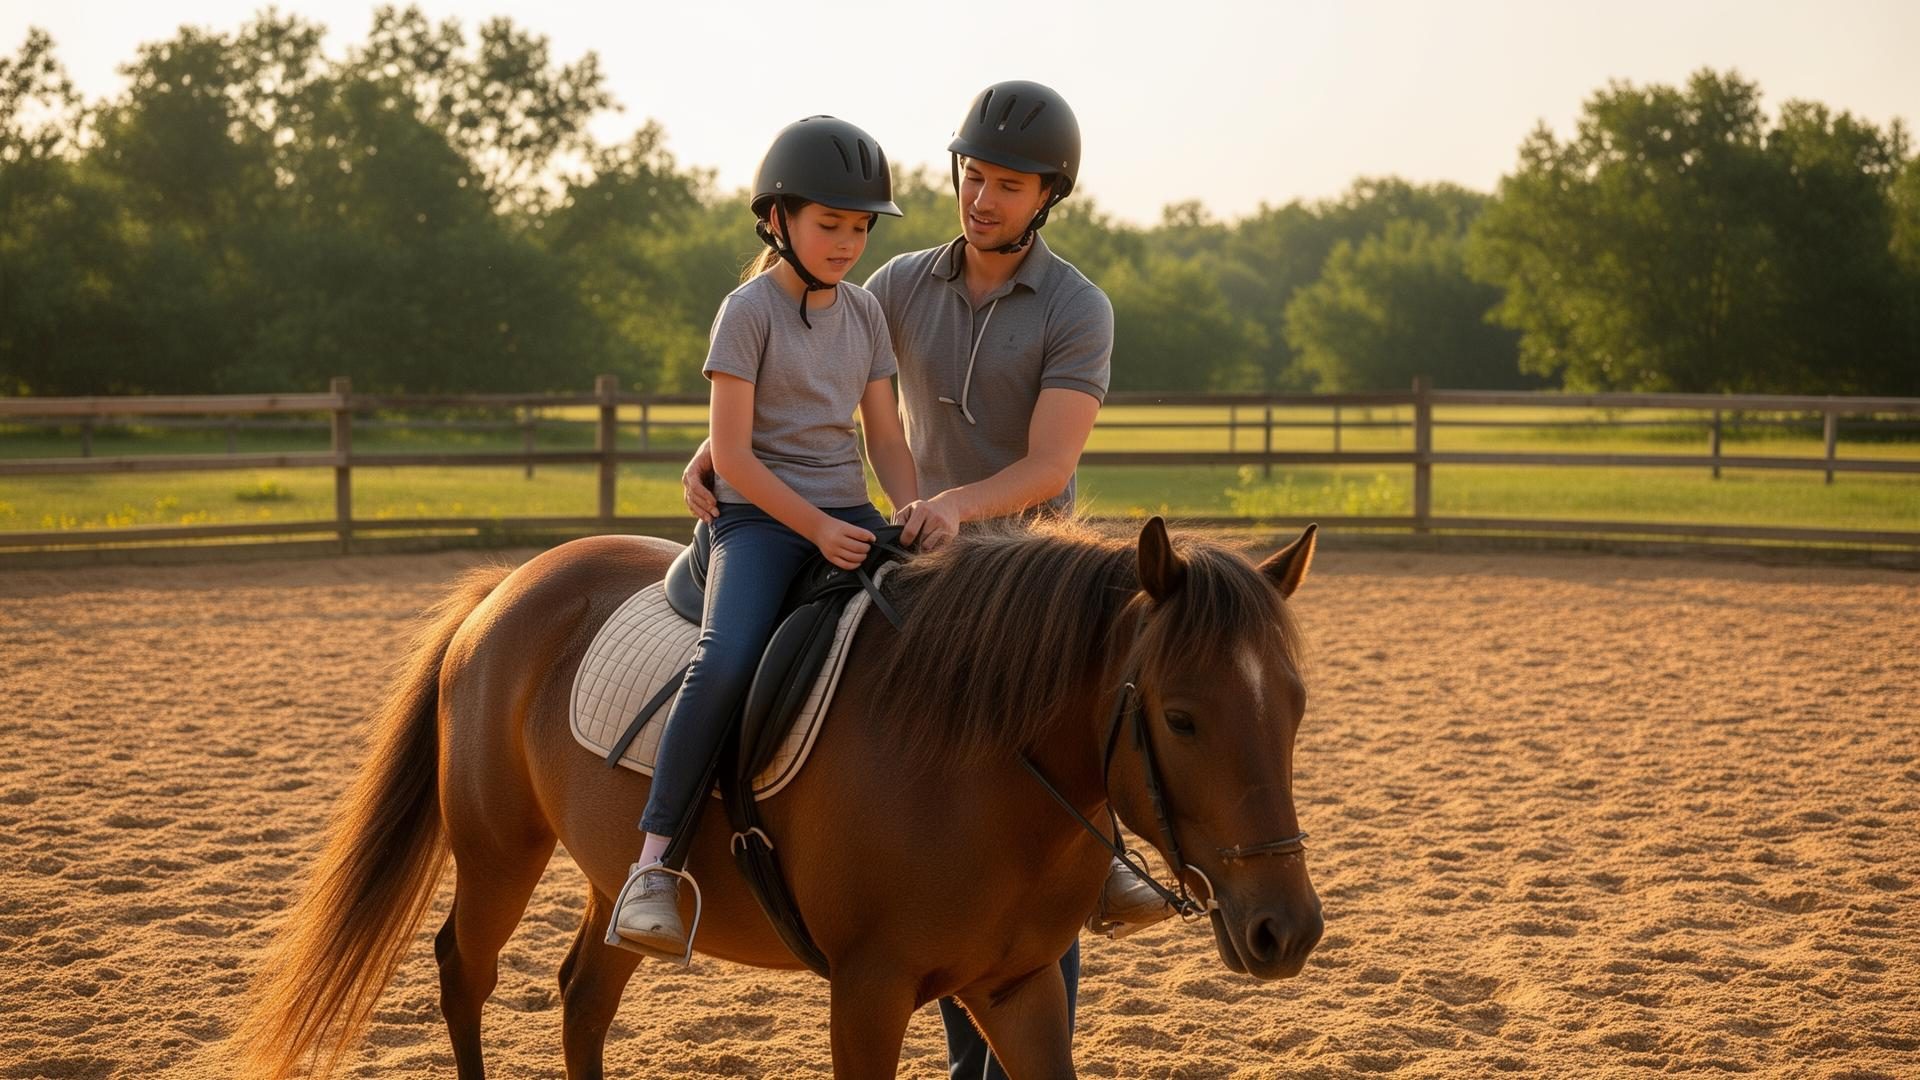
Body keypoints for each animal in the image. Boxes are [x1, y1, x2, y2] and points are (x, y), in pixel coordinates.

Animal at [237, 515, 1323, 1079]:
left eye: (1295, 704)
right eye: (1181, 717)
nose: (1287, 929)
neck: (978, 761)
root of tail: (509, 586)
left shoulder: (1018, 990)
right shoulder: (869, 990)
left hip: (612, 874)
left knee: (582, 994)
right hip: (500, 851)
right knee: (466, 973)